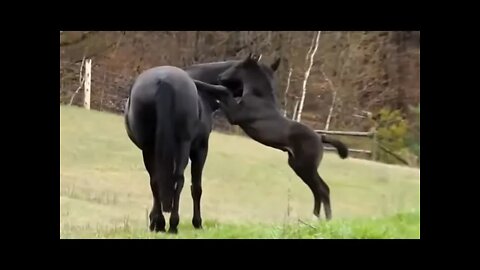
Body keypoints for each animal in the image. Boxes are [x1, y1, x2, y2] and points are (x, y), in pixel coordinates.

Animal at [124, 58, 282, 233]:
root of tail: (164, 81)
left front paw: (155, 222)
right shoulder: (200, 149)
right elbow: (196, 187)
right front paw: (197, 223)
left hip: (149, 148)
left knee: (156, 180)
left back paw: (159, 224)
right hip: (182, 147)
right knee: (178, 180)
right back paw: (173, 225)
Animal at [203, 53, 348, 220]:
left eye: (237, 66)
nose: (220, 77)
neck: (258, 97)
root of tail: (320, 138)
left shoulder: (234, 116)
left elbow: (223, 94)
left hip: (306, 167)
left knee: (323, 189)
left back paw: (326, 219)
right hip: (299, 166)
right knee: (317, 190)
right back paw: (316, 218)